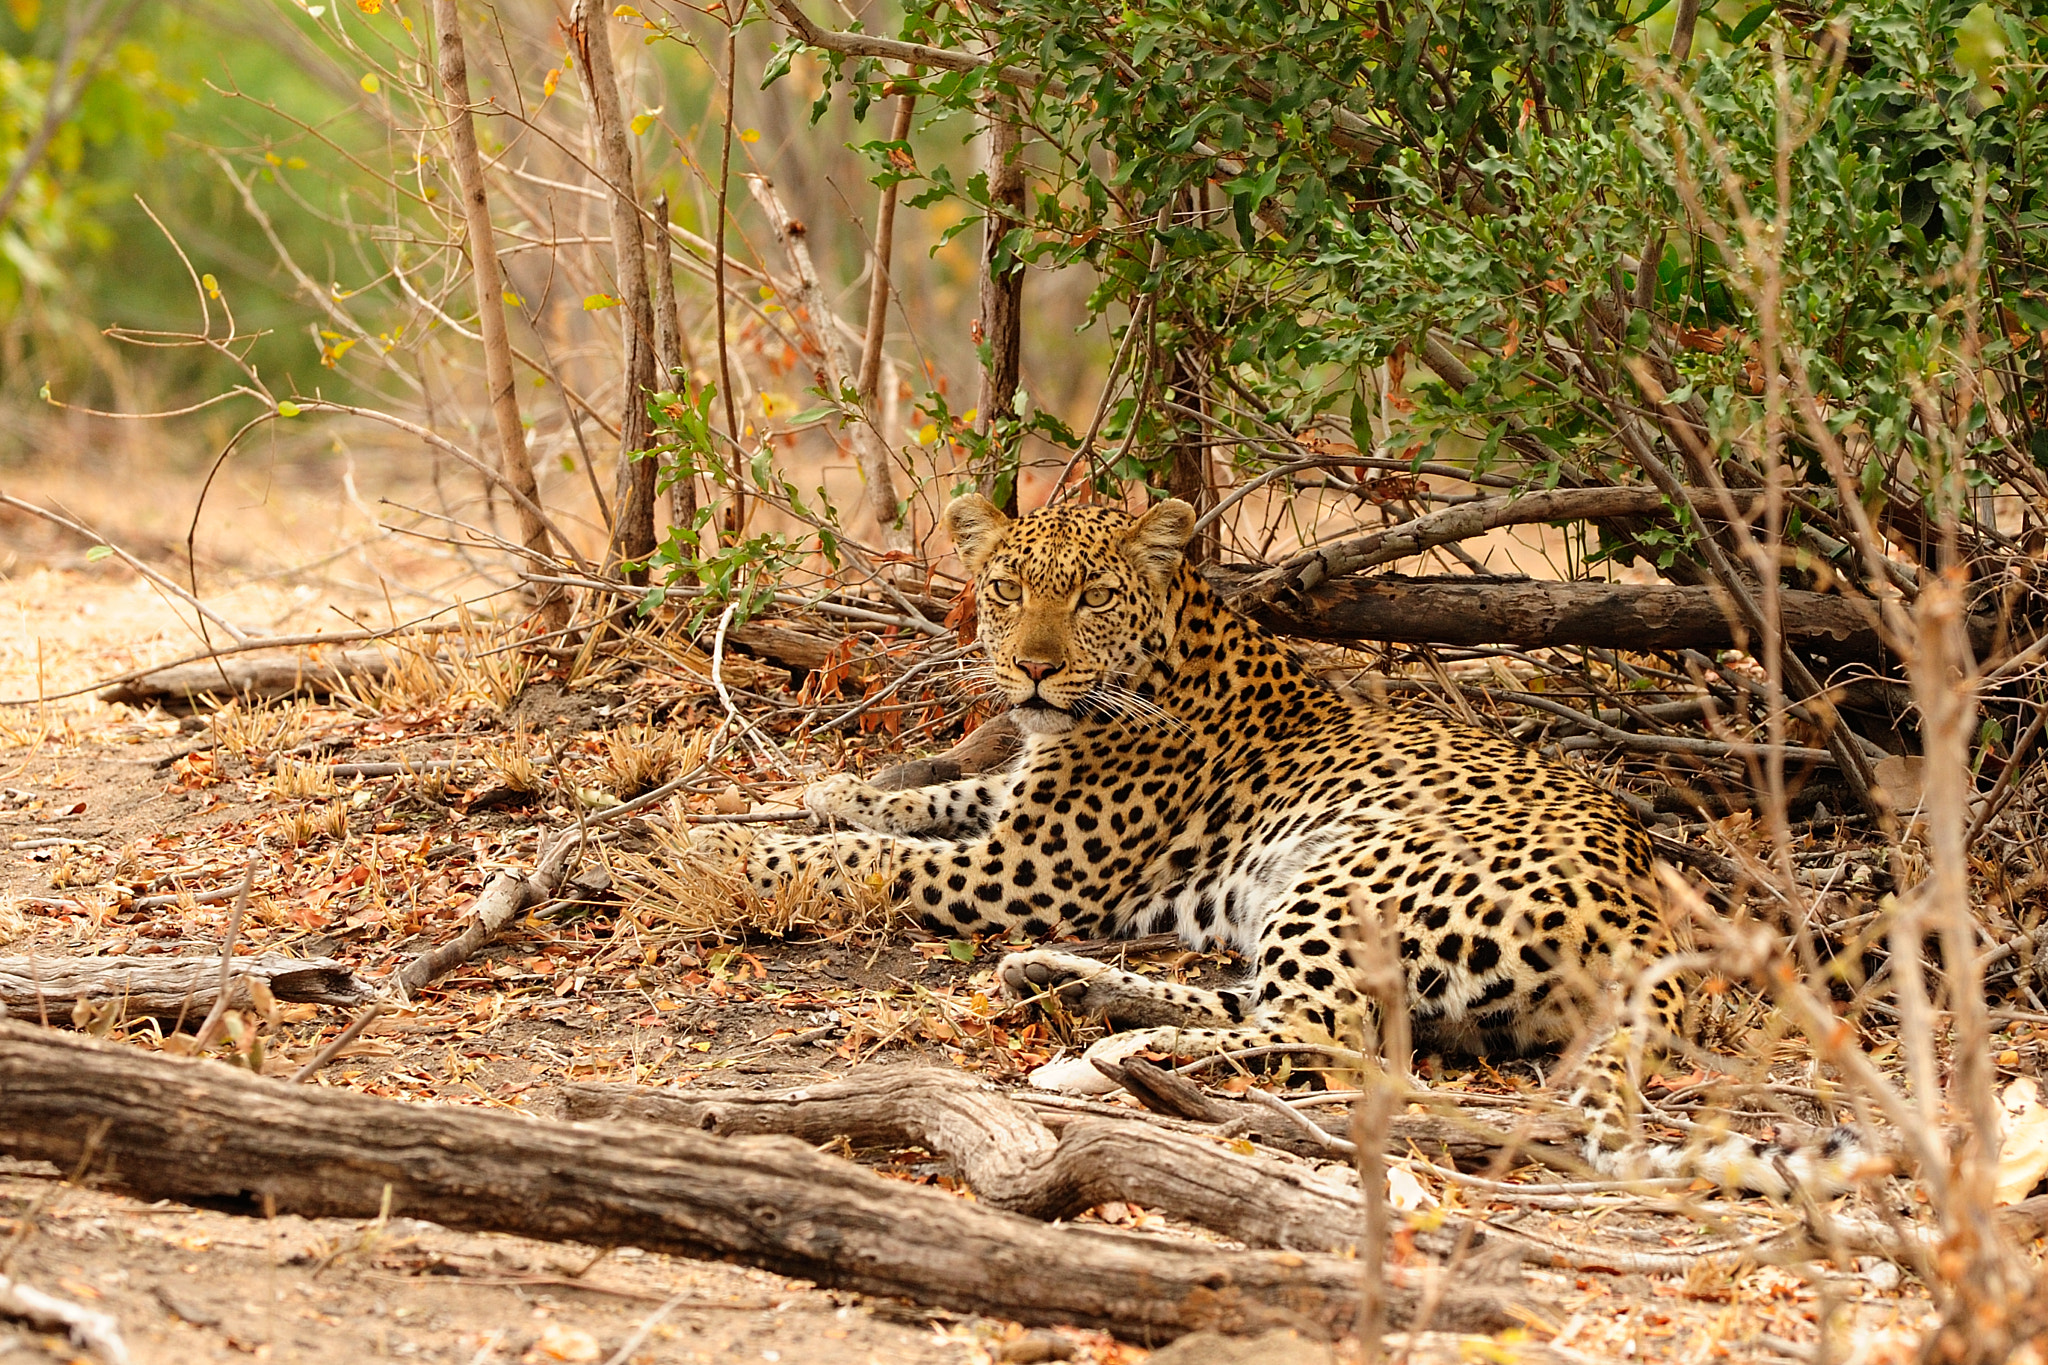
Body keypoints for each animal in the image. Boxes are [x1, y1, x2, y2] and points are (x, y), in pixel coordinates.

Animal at [700, 493, 1875, 1195]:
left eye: (1090, 595)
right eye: (1005, 588)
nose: (1032, 668)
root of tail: (1651, 926)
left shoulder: (1029, 868)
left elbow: (874, 857)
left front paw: (714, 848)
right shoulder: (1017, 812)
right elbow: (920, 800)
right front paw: (813, 792)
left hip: (1353, 870)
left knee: (1326, 1036)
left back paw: (1098, 1060)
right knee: (1260, 1007)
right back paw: (1069, 996)